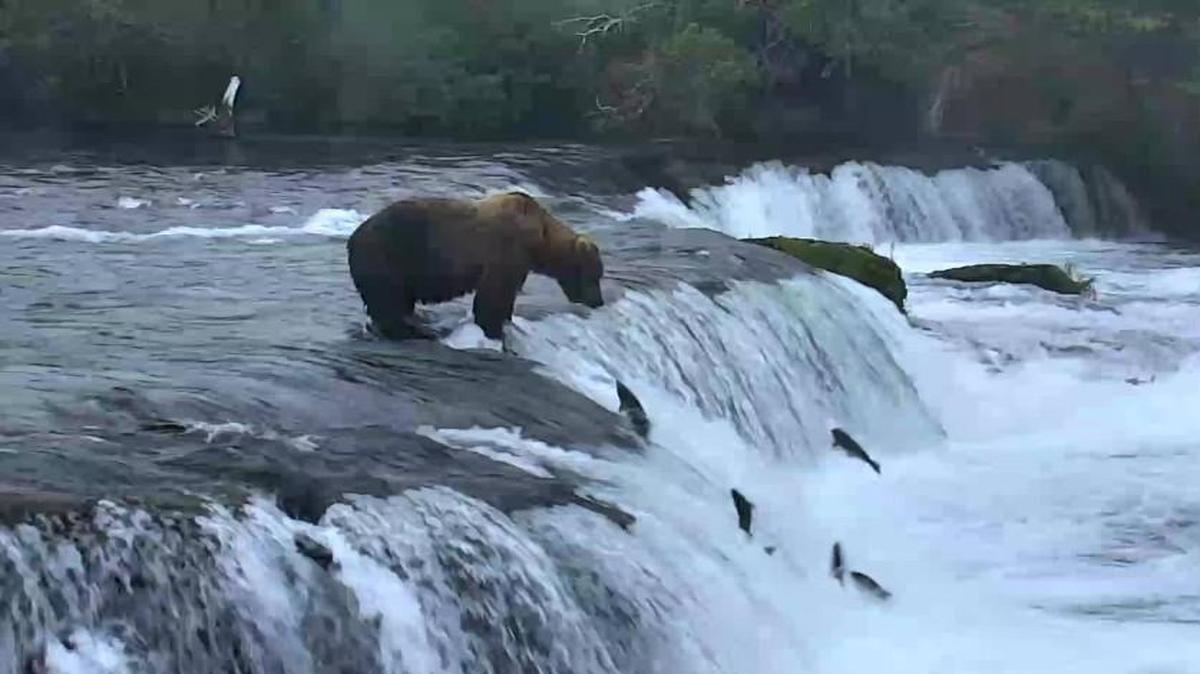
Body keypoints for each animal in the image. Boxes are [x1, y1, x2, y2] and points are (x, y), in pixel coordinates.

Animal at [346, 191, 604, 341]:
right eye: (595, 275)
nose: (599, 301)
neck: (540, 238)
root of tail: (353, 237)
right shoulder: (506, 251)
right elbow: (494, 294)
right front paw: (493, 329)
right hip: (390, 254)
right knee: (388, 300)